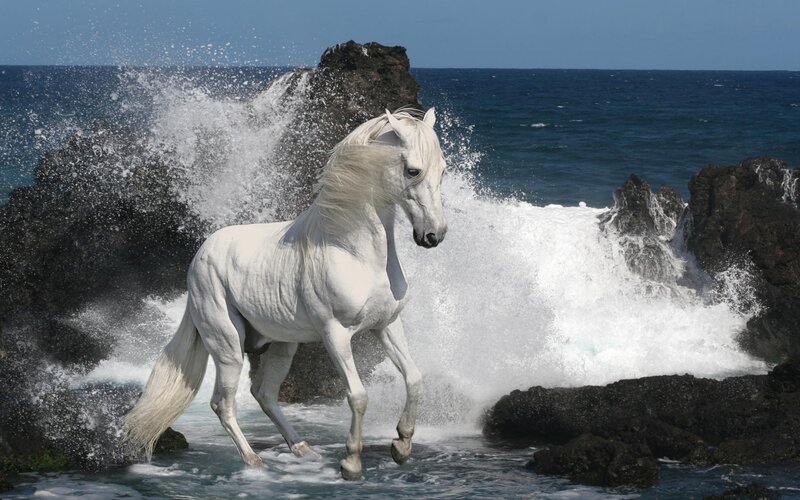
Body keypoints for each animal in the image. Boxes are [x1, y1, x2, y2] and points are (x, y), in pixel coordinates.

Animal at [122, 108, 448, 481]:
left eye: (443, 170)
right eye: (413, 170)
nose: (433, 235)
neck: (353, 251)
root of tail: (200, 256)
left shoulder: (387, 325)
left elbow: (414, 379)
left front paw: (401, 446)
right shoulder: (335, 334)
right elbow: (358, 395)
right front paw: (351, 463)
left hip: (281, 345)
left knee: (263, 394)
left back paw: (303, 449)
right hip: (228, 346)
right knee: (223, 402)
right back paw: (254, 462)